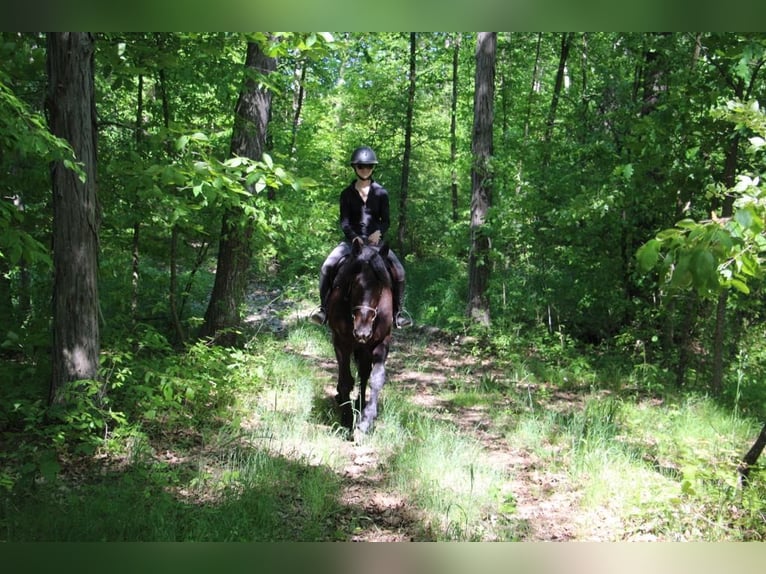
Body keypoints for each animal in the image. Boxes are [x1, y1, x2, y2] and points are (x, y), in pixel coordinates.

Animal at [326, 237, 394, 434]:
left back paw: (361, 404)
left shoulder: (381, 342)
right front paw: (347, 419)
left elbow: (376, 378)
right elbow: (345, 380)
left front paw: (366, 420)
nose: (362, 332)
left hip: (366, 348)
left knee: (364, 374)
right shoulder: (341, 342)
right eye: (355, 285)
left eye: (381, 286)